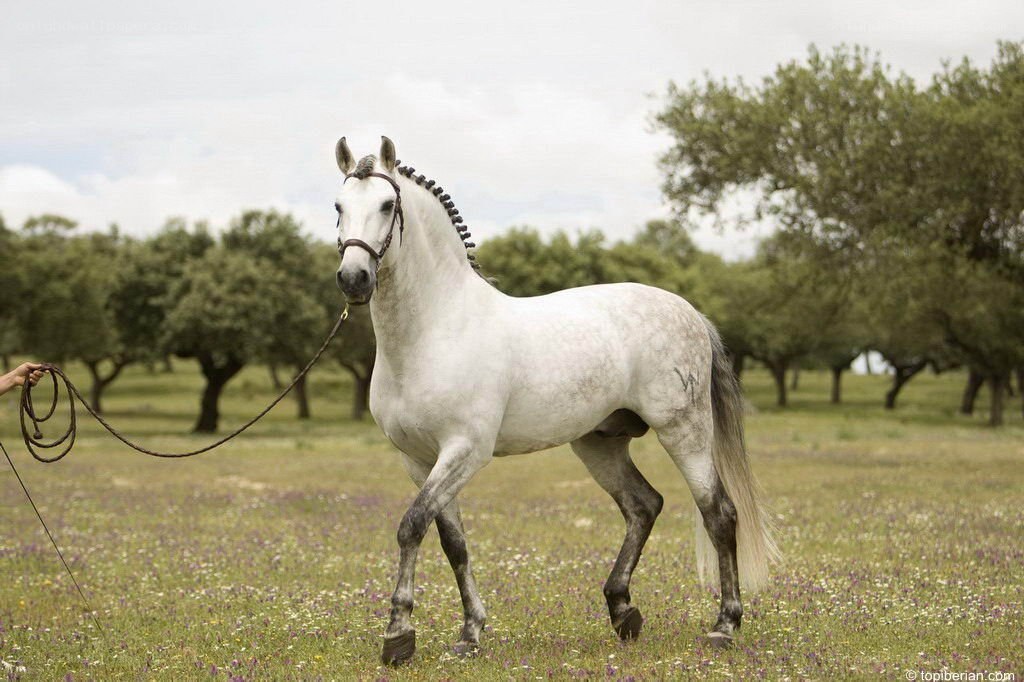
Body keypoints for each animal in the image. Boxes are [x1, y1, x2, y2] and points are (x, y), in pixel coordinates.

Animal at [332, 136, 779, 665]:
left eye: (386, 205)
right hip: (599, 444)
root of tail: (688, 310)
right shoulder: (419, 460)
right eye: (338, 207)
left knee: (718, 513)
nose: (354, 278)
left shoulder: (465, 451)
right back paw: (623, 611)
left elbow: (411, 526)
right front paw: (469, 633)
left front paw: (398, 634)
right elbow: (452, 542)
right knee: (643, 506)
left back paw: (724, 625)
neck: (437, 328)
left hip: (683, 432)